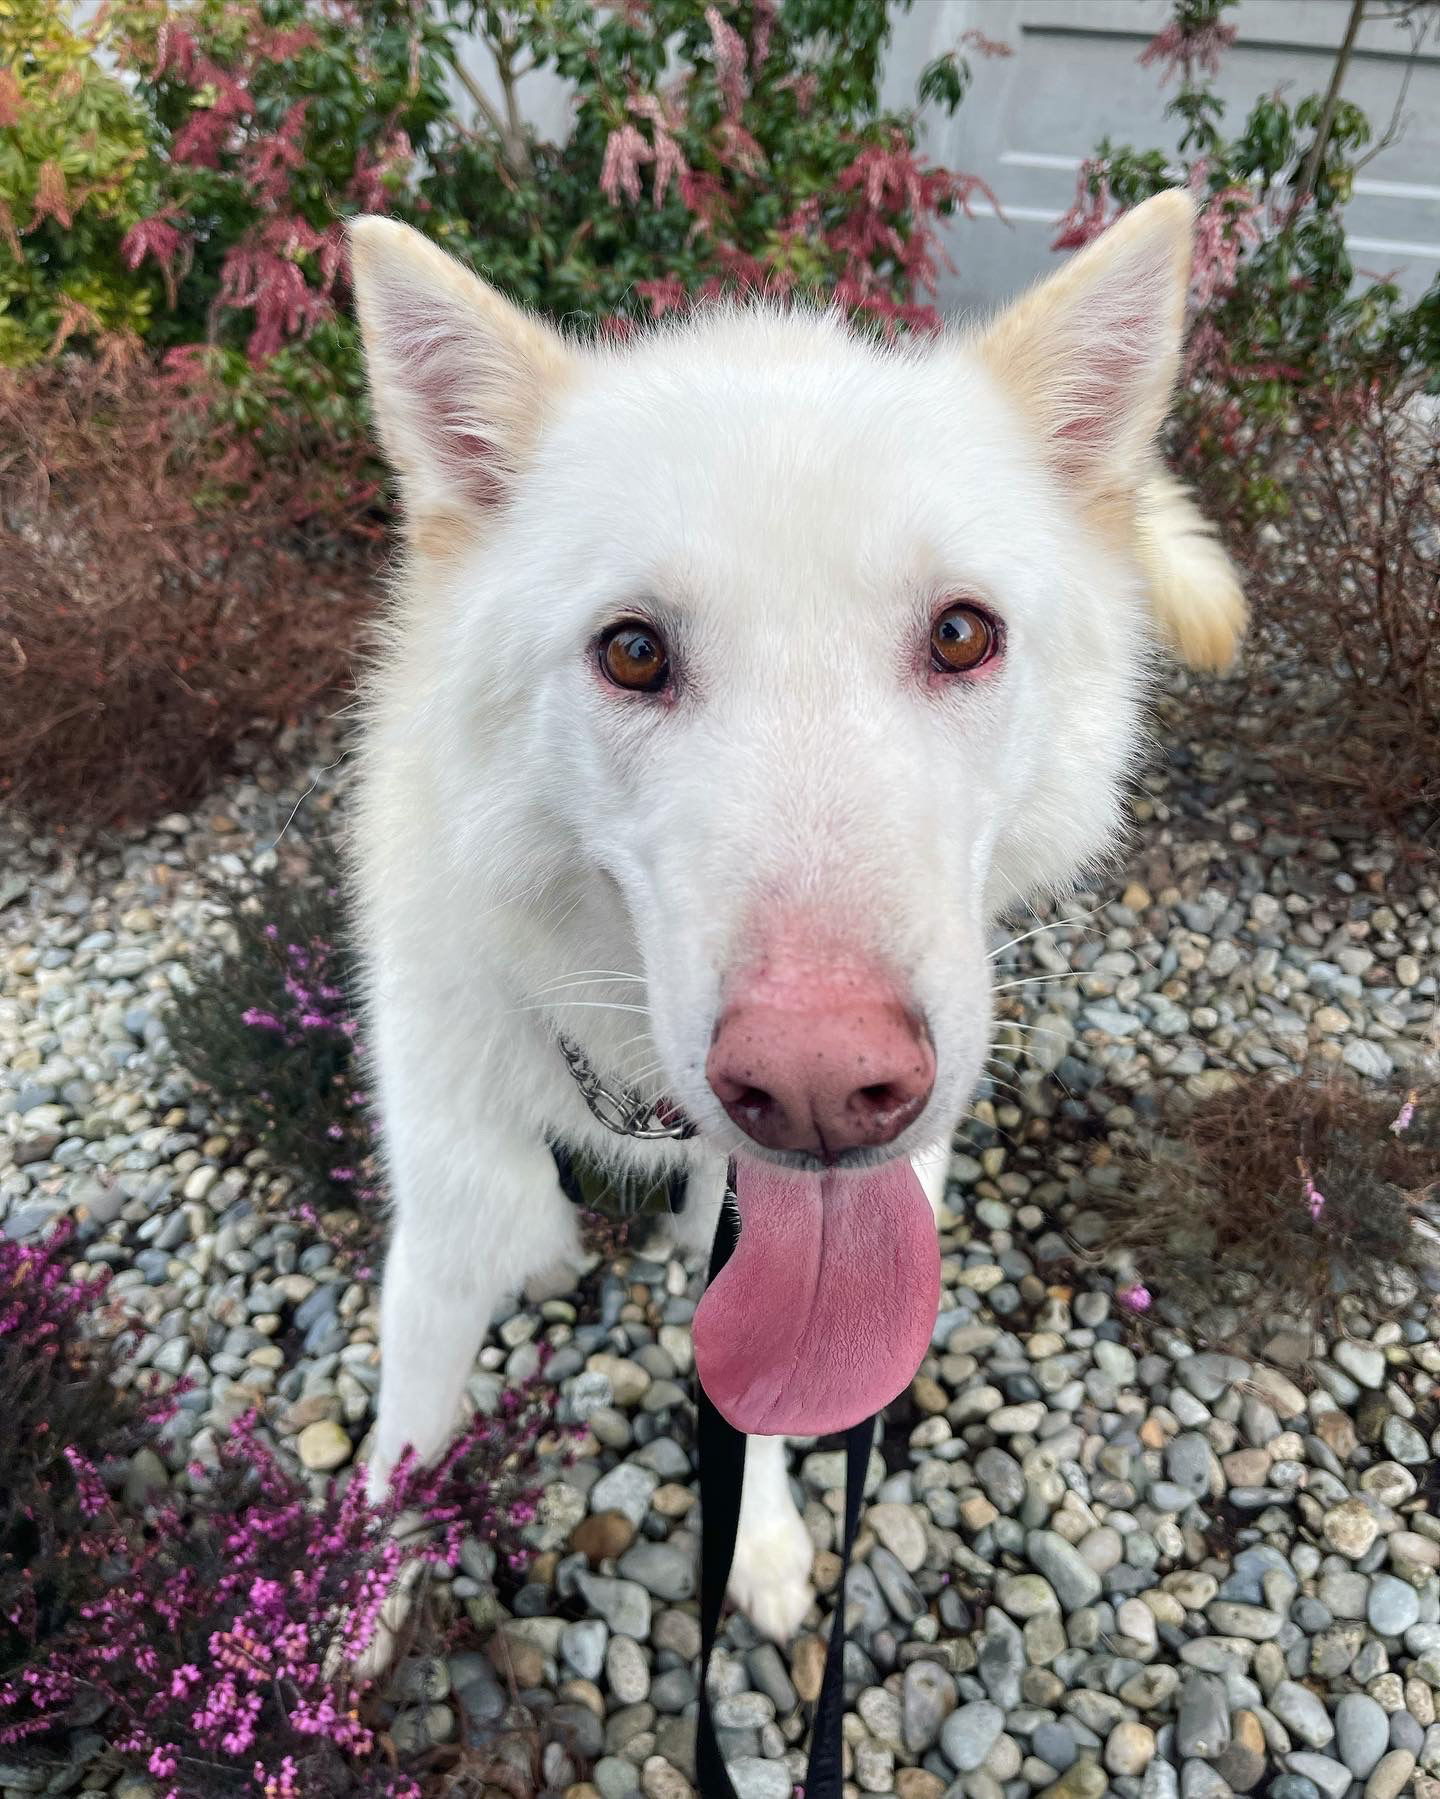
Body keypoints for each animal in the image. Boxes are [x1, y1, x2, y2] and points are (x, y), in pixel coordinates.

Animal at [351, 189, 1245, 1640]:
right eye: (634, 651)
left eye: (960, 634)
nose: (826, 1086)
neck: (638, 1109)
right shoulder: (440, 1240)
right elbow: (404, 1449)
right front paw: (338, 1621)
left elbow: (758, 1403)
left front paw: (760, 1538)